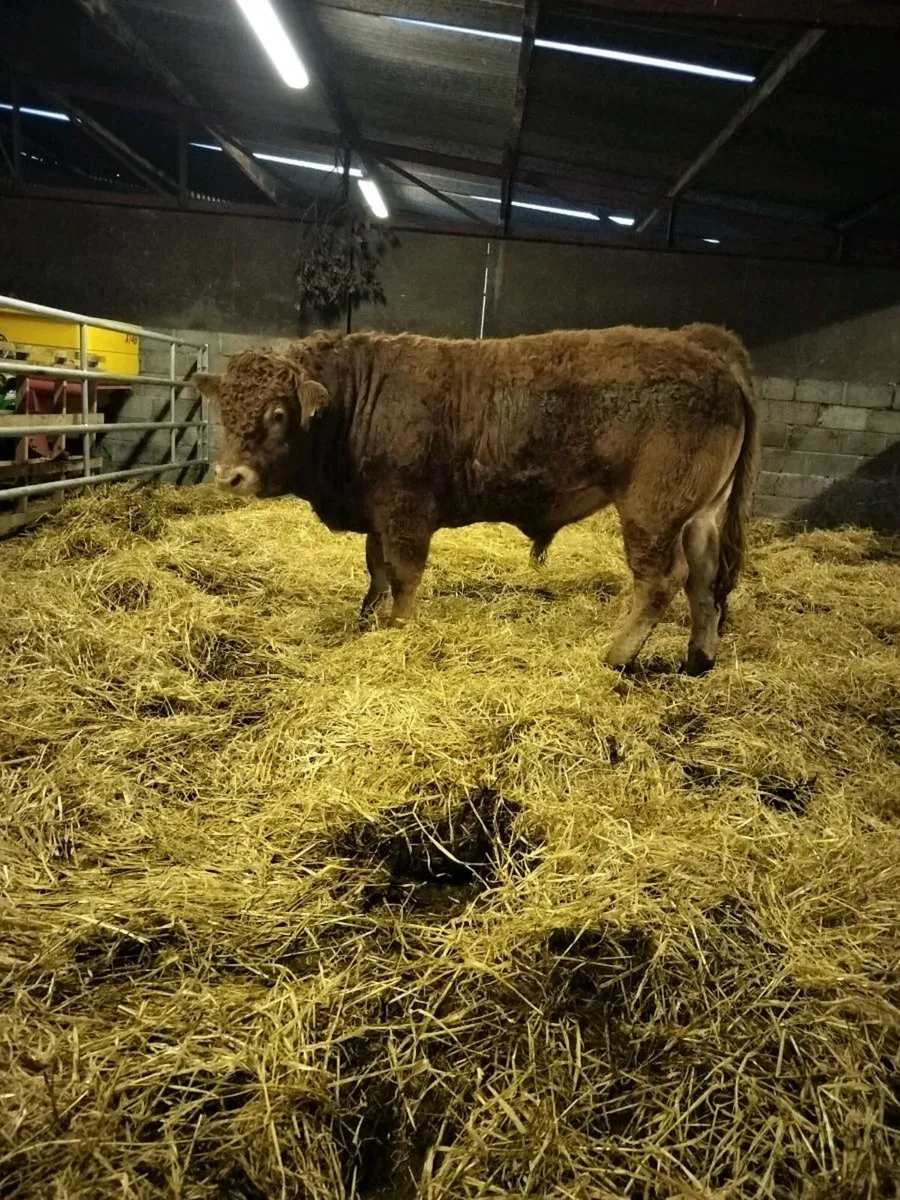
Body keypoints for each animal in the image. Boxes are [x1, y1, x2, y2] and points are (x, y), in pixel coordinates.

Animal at [195, 326, 760, 674]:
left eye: (278, 413)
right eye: (224, 408)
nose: (229, 475)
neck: (356, 402)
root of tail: (704, 348)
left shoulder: (405, 511)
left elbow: (403, 574)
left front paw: (398, 627)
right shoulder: (378, 513)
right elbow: (375, 568)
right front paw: (365, 617)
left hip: (651, 513)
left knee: (661, 582)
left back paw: (616, 656)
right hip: (700, 517)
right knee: (704, 581)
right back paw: (698, 660)